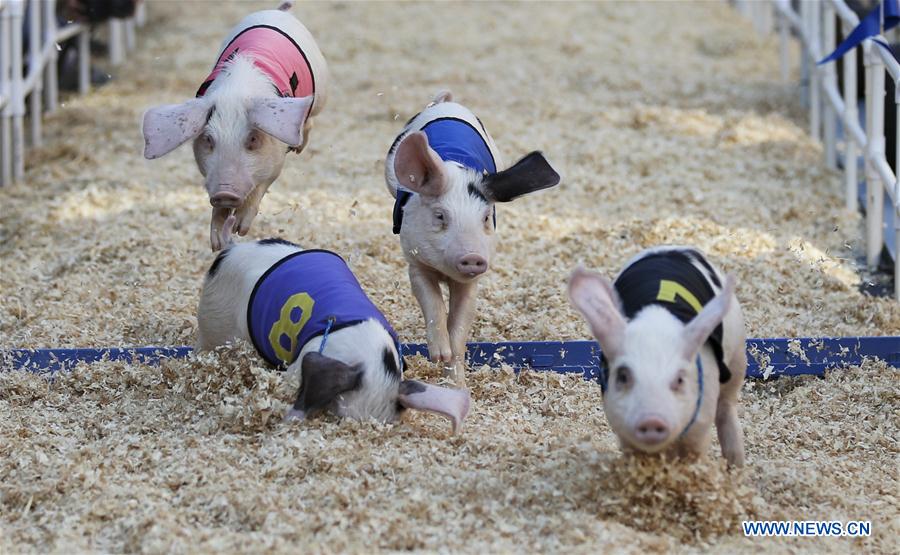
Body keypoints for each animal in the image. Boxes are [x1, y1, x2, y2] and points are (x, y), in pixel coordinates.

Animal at [141, 2, 329, 251]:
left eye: (252, 139)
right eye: (208, 139)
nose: (225, 192)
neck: (235, 93)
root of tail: (279, 10)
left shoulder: (276, 162)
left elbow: (260, 187)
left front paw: (241, 230)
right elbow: (218, 211)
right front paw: (217, 244)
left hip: (321, 91)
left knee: (309, 119)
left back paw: (299, 147)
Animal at [385, 91, 561, 385]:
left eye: (486, 218)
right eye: (440, 216)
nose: (472, 257)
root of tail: (447, 102)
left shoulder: (472, 281)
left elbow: (460, 326)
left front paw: (457, 383)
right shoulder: (415, 262)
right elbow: (432, 303)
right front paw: (438, 355)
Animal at [567, 246, 746, 466]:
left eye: (679, 379)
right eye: (623, 376)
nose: (652, 420)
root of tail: (675, 247)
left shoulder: (702, 422)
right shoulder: (623, 431)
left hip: (738, 353)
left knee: (728, 404)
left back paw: (736, 465)